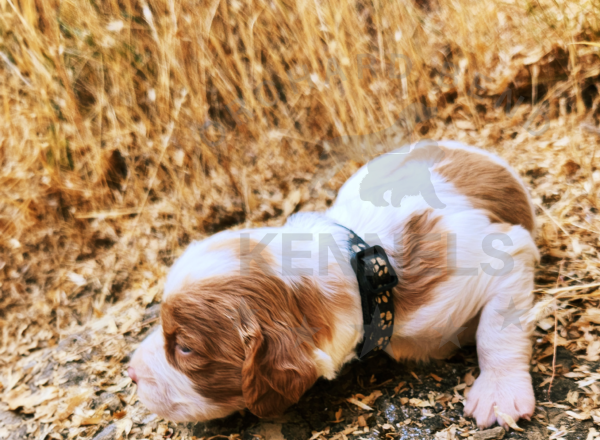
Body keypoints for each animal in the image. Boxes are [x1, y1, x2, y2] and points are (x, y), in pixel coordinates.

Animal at [127, 142, 540, 430]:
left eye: (184, 348)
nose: (130, 373)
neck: (367, 274)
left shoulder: (507, 253)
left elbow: (496, 329)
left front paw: (499, 395)